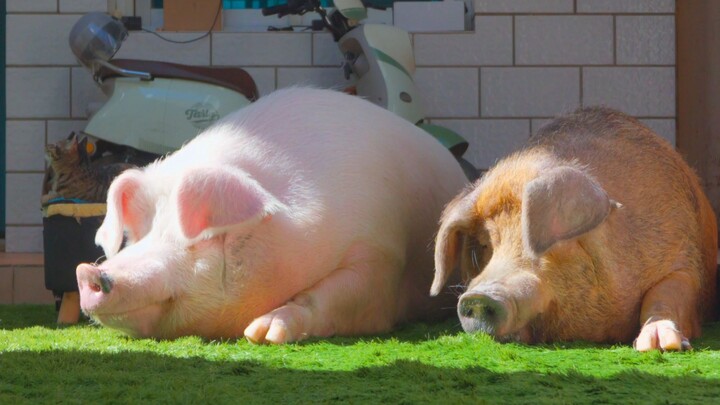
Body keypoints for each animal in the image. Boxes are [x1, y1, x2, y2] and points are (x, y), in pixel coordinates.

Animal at [75, 87, 467, 343]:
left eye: (200, 239)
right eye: (135, 236)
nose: (89, 272)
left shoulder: (380, 253)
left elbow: (339, 295)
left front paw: (261, 334)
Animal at [431, 106, 717, 351]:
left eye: (554, 243)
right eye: (484, 245)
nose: (478, 297)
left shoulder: (685, 259)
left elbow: (665, 293)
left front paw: (658, 346)